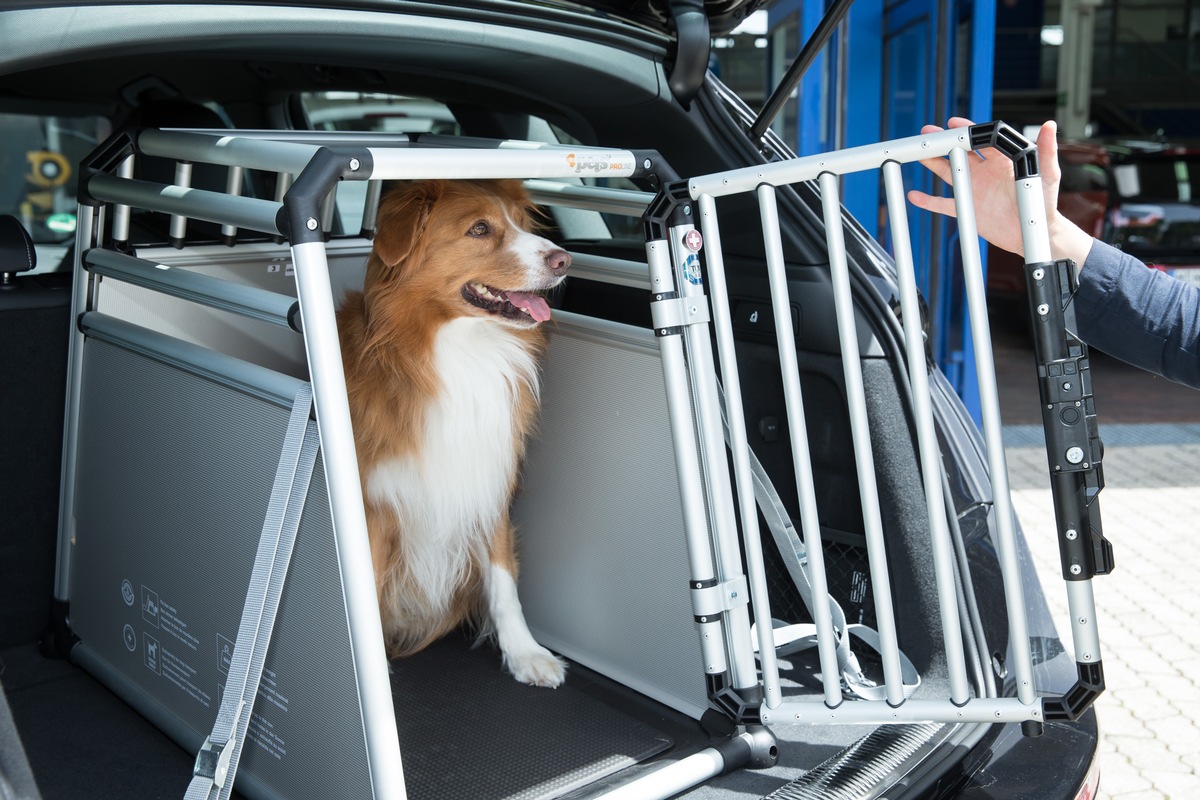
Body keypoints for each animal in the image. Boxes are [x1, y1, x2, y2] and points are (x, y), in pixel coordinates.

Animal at [333, 181, 566, 690]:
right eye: (479, 229)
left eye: (519, 222)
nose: (564, 259)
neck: (456, 351)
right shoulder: (374, 506)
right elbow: (370, 588)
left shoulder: (487, 481)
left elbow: (503, 581)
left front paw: (525, 654)